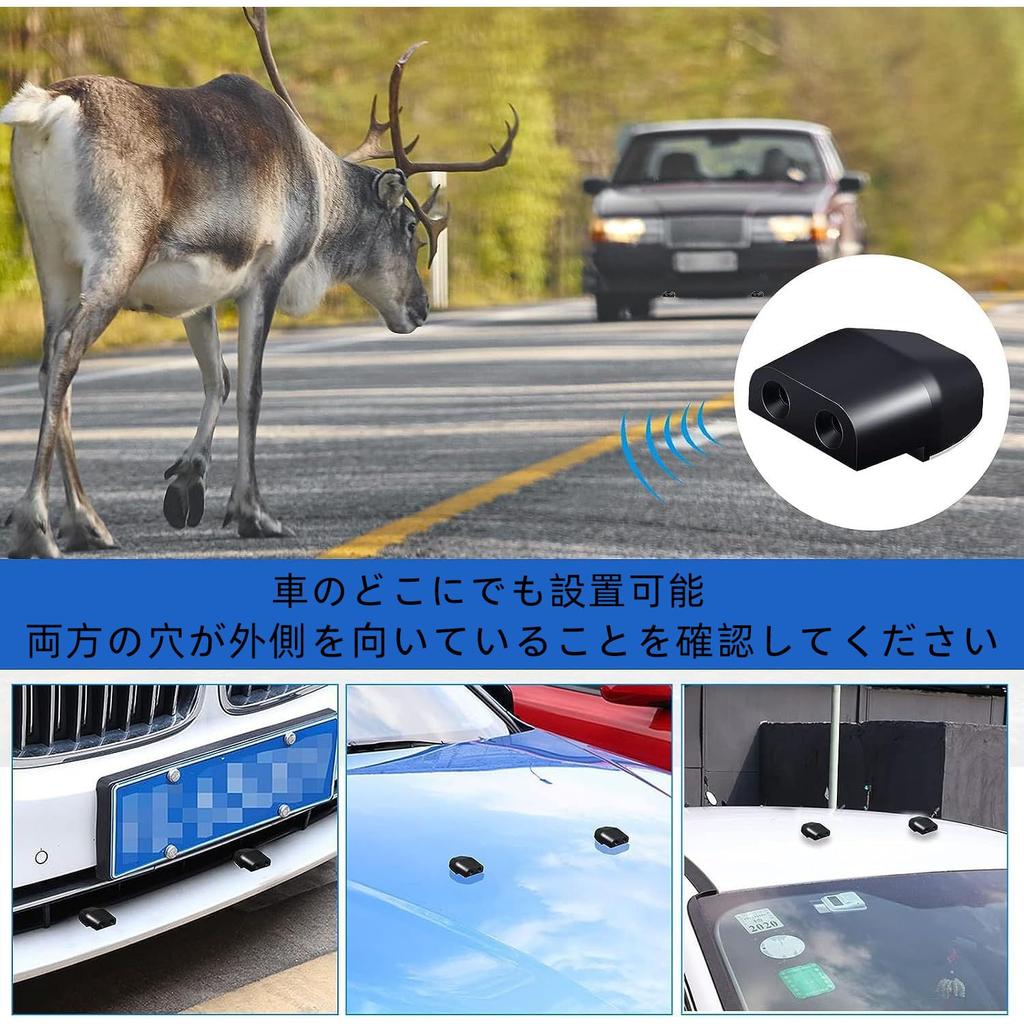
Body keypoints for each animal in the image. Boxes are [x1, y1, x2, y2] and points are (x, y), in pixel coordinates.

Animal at [0, 7, 518, 557]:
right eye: (408, 229)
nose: (420, 309)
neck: (321, 192)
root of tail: (48, 109)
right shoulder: (268, 273)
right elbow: (252, 388)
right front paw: (253, 511)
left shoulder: (195, 297)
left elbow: (219, 379)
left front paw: (188, 481)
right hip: (115, 257)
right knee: (67, 354)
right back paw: (37, 525)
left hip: (51, 260)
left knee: (51, 365)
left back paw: (87, 522)